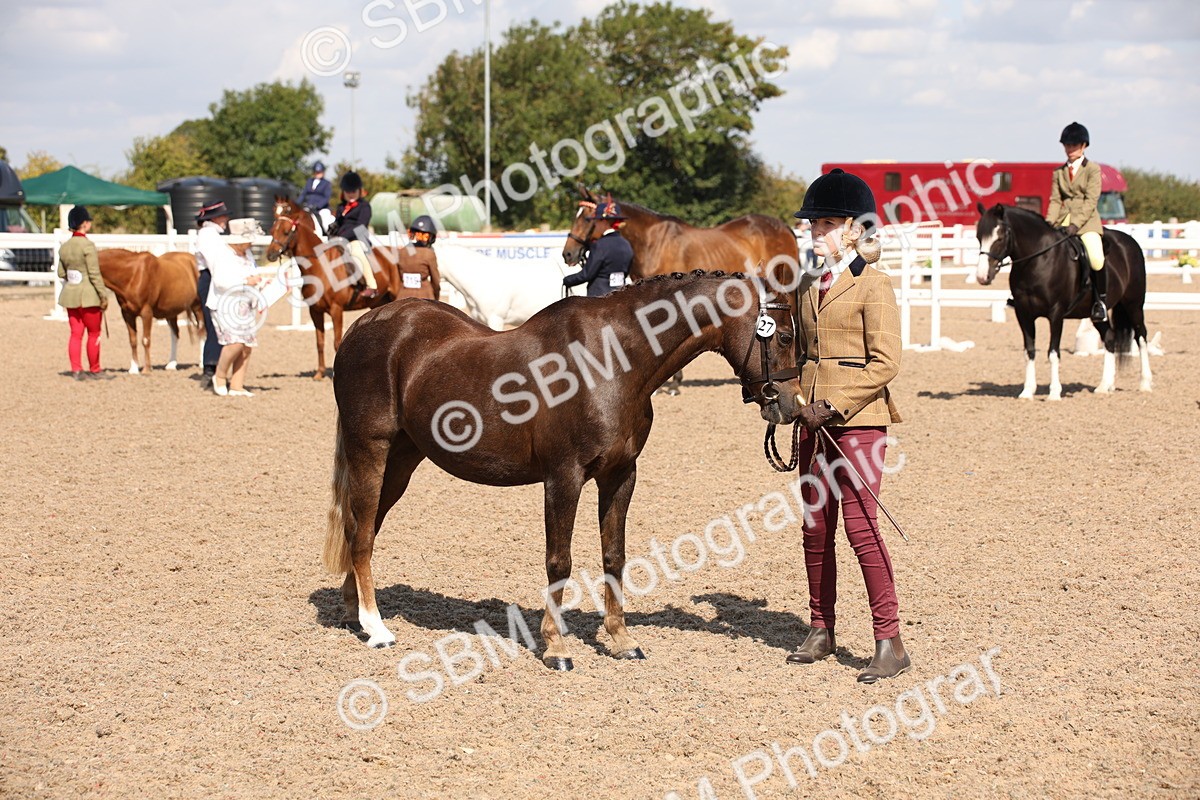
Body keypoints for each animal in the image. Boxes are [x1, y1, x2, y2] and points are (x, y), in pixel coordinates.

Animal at [266, 197, 402, 379]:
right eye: (272, 229)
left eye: (287, 232)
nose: (271, 255)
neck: (320, 267)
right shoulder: (315, 311)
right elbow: (320, 342)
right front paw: (319, 373)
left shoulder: (336, 310)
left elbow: (337, 343)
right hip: (379, 303)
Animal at [323, 270, 803, 669]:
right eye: (781, 336)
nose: (793, 405)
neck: (610, 360)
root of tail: (365, 326)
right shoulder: (563, 478)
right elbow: (560, 561)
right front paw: (556, 647)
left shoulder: (620, 476)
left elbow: (614, 555)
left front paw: (622, 640)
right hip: (370, 450)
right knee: (361, 534)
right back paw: (378, 628)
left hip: (402, 461)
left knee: (360, 527)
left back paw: (354, 614)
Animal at [975, 202, 1152, 398]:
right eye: (978, 237)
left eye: (999, 237)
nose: (982, 277)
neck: (1038, 260)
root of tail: (1130, 241)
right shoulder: (1024, 314)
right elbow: (1029, 351)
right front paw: (1027, 392)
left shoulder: (1056, 314)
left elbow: (1053, 352)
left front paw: (1054, 393)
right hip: (1097, 315)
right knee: (1110, 338)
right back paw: (1105, 386)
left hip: (1133, 305)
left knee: (1141, 337)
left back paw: (1145, 383)